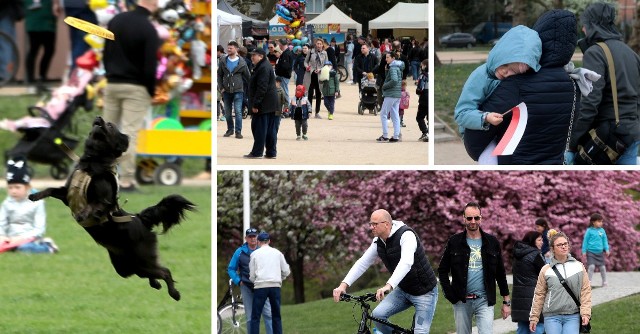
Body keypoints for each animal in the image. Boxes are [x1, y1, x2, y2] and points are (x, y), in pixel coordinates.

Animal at [29, 117, 195, 300]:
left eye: (110, 125)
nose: (98, 118)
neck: (92, 161)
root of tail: (141, 219)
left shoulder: (104, 201)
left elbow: (93, 205)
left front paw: (82, 214)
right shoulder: (66, 195)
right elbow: (51, 189)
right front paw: (34, 196)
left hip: (141, 259)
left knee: (165, 271)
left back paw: (174, 293)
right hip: (126, 266)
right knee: (150, 273)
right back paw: (156, 284)